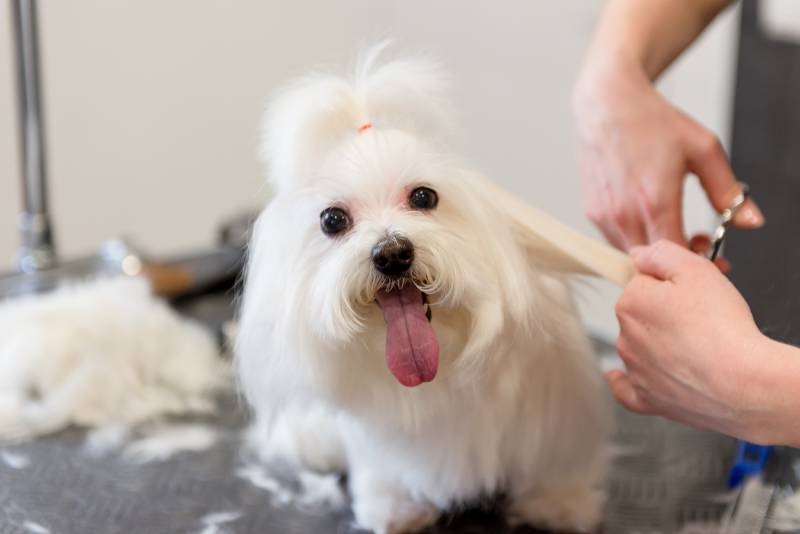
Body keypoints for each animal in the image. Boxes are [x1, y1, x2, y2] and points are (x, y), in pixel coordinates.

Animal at [234, 46, 608, 534]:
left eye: (424, 197)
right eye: (333, 220)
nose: (392, 253)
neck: (443, 362)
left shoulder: (555, 406)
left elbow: (554, 460)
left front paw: (559, 505)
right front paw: (396, 509)